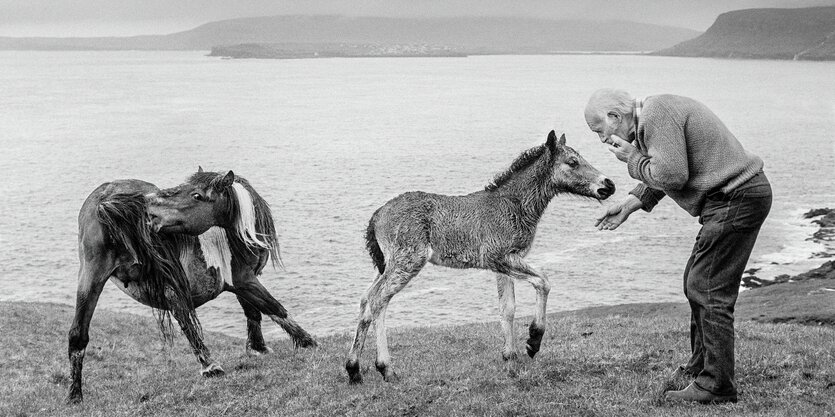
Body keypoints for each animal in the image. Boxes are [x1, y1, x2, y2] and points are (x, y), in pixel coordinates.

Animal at [68, 169, 316, 404]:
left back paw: (74, 396)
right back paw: (210, 366)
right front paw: (307, 342)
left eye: (196, 195)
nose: (151, 213)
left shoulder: (241, 282)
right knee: (186, 321)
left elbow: (253, 312)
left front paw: (258, 348)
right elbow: (274, 308)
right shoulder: (244, 279)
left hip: (93, 277)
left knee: (78, 334)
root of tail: (106, 199)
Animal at [344, 132, 612, 384]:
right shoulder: (498, 257)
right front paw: (533, 340)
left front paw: (510, 360)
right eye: (573, 162)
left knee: (366, 298)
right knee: (379, 299)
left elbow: (508, 308)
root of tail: (376, 216)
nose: (608, 185)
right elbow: (543, 281)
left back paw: (353, 369)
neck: (514, 205)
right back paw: (386, 368)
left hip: (386, 265)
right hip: (407, 261)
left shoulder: (504, 264)